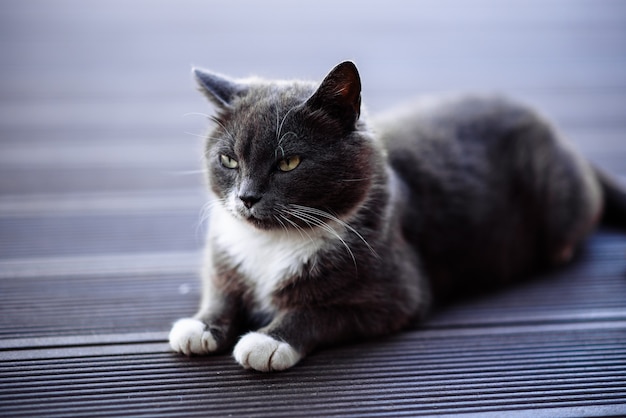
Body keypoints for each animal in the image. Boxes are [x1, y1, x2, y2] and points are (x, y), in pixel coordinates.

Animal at [167, 60, 624, 370]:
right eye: (228, 160)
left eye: (289, 163)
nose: (246, 197)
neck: (272, 242)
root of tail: (557, 135)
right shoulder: (224, 255)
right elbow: (221, 291)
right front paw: (200, 327)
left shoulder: (395, 294)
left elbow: (319, 311)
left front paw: (268, 341)